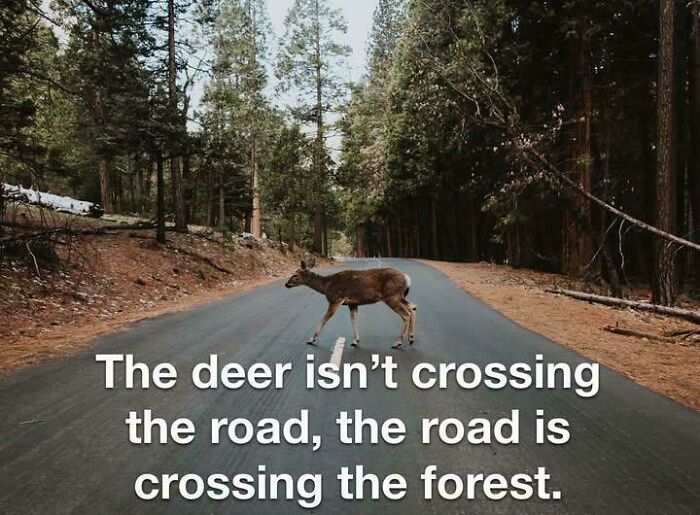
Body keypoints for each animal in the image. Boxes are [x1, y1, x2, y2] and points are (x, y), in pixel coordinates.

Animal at [285, 257, 417, 349]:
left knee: (406, 314)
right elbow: (353, 320)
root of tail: (407, 278)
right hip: (399, 296)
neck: (326, 285)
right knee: (413, 307)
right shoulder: (352, 303)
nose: (286, 284)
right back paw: (411, 338)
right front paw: (355, 341)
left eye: (295, 275)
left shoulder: (335, 299)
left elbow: (324, 319)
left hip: (391, 296)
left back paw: (398, 343)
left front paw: (311, 339)